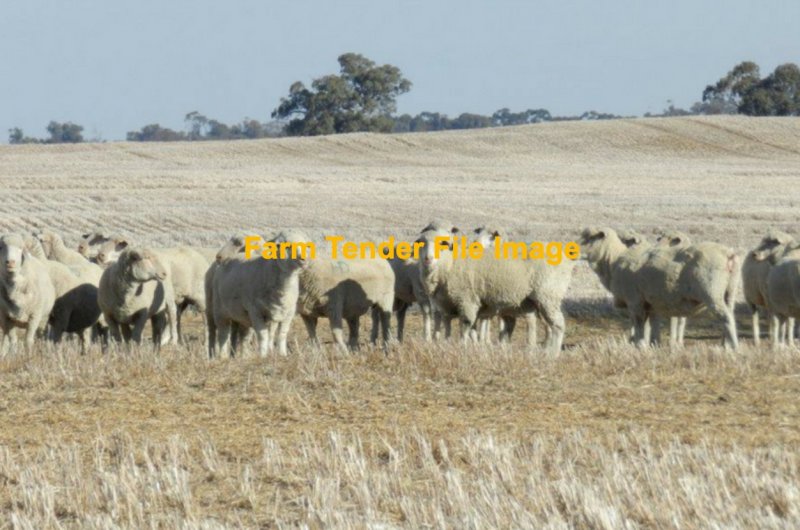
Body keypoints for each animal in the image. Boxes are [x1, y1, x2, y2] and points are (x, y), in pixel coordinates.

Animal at [417, 229, 574, 353]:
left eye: (441, 244)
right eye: (422, 244)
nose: (428, 258)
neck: (449, 264)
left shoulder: (467, 301)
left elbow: (466, 326)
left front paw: (462, 348)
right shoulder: (447, 305)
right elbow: (452, 328)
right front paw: (449, 346)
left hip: (548, 295)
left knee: (558, 325)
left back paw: (552, 354)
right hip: (535, 301)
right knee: (547, 326)